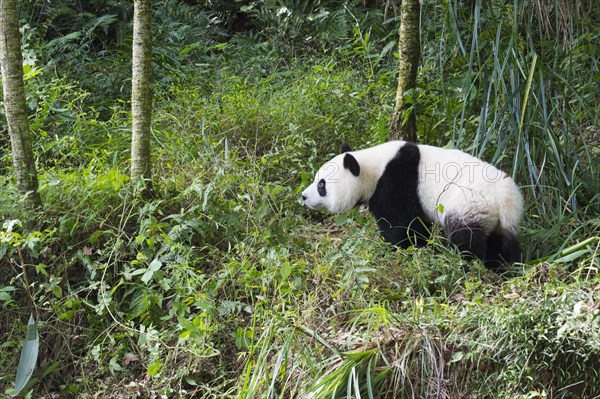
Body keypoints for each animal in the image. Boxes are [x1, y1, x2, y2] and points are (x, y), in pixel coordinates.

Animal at [302, 141, 524, 268]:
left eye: (321, 185)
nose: (303, 196)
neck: (371, 167)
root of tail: (505, 199)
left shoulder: (396, 181)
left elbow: (401, 226)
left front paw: (395, 250)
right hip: (497, 220)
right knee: (501, 243)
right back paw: (503, 266)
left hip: (469, 203)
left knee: (465, 238)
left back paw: (463, 262)